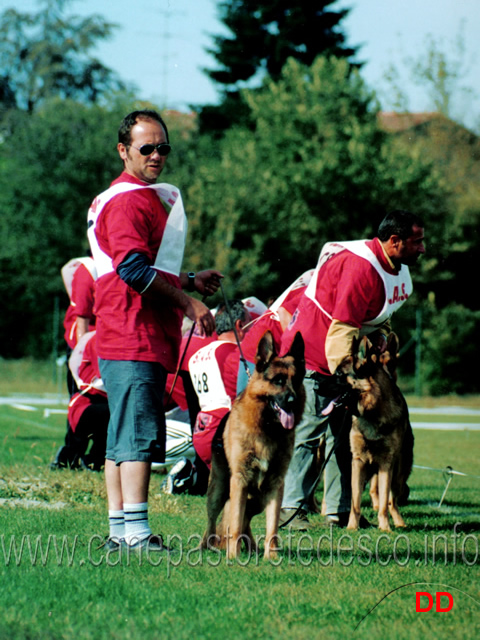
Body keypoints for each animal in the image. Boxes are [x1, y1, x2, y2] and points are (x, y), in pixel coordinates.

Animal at [201, 332, 306, 556]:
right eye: (278, 381)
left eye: (296, 380)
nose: (292, 401)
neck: (267, 427)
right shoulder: (240, 481)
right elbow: (235, 523)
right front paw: (233, 557)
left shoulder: (276, 485)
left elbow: (272, 527)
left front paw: (271, 556)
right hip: (219, 490)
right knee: (213, 521)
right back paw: (208, 547)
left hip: (257, 499)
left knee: (246, 518)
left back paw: (251, 548)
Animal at [340, 332, 414, 532]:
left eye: (339, 375)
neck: (372, 413)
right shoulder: (358, 462)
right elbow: (355, 502)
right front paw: (352, 527)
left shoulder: (386, 464)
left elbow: (384, 504)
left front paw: (385, 528)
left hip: (398, 474)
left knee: (392, 500)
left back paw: (399, 523)